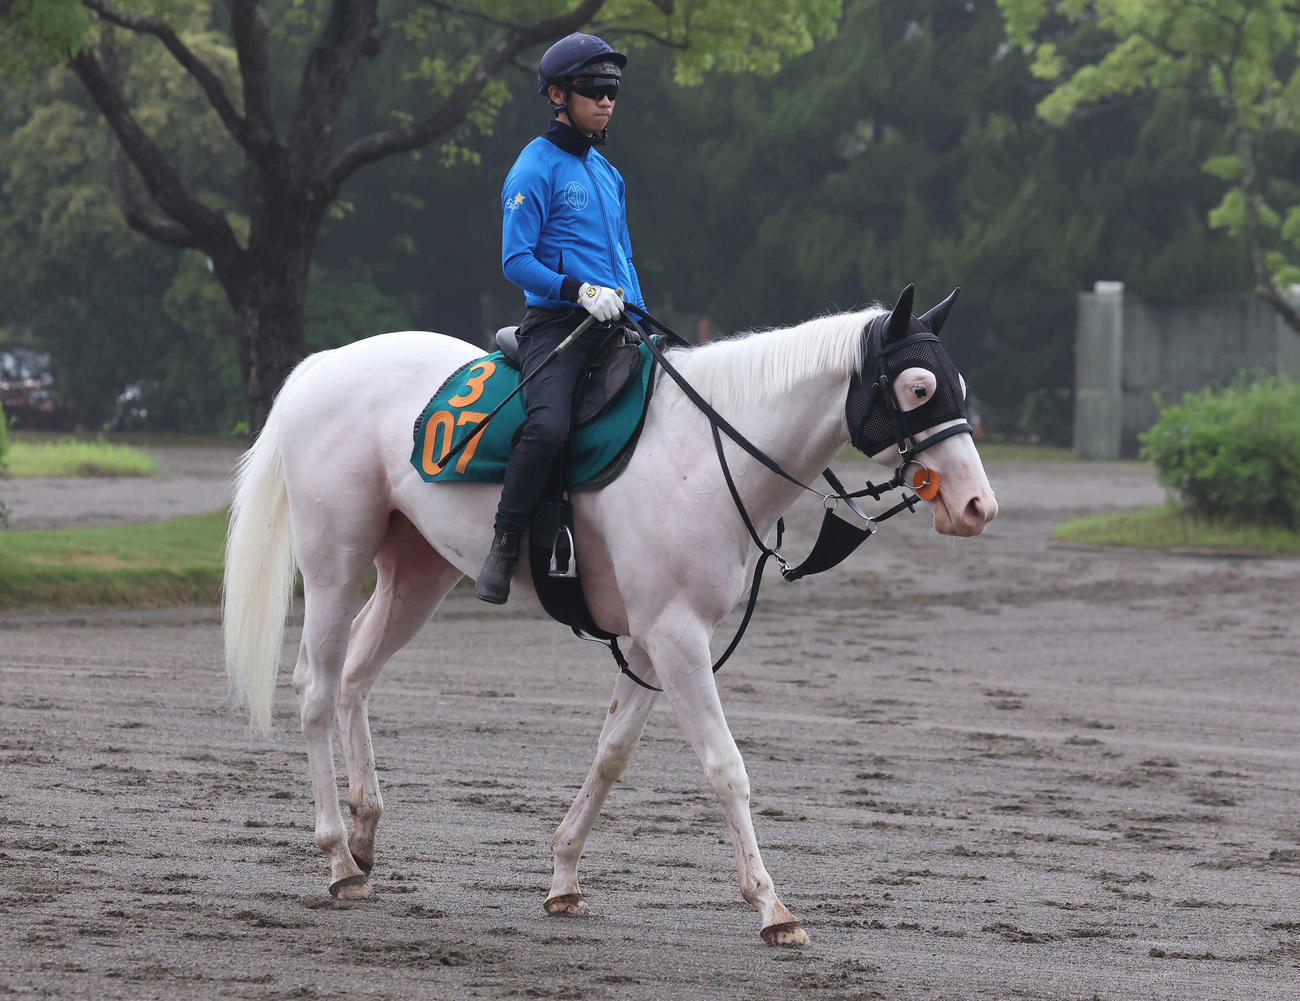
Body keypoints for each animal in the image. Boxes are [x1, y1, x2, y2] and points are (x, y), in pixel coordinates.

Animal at [222, 286, 998, 946]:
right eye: (918, 388)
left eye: (959, 387)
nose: (977, 506)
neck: (706, 455)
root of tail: (324, 364)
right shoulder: (677, 636)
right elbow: (725, 766)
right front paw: (772, 906)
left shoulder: (652, 642)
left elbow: (612, 752)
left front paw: (564, 876)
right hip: (334, 563)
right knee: (317, 686)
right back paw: (337, 856)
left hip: (417, 572)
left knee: (355, 674)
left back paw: (364, 833)